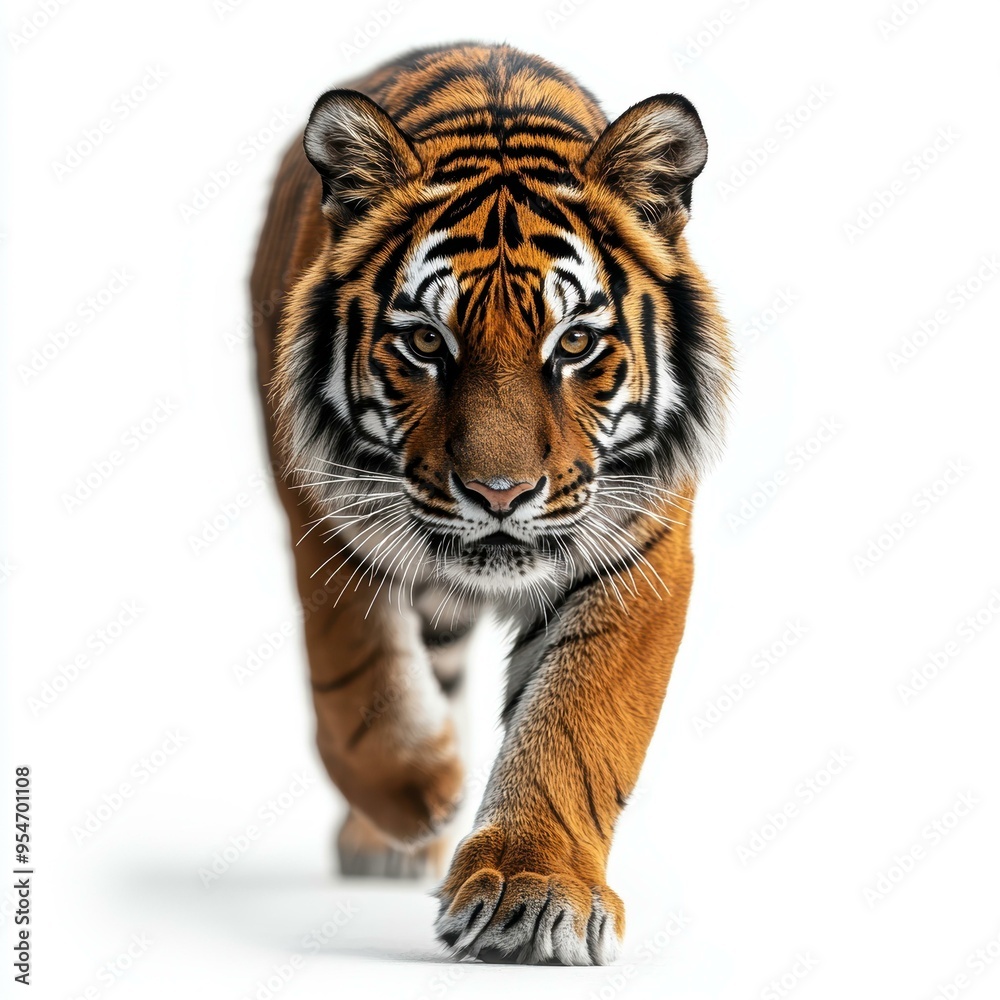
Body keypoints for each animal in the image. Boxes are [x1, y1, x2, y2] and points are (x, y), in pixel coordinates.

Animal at [250, 42, 732, 966]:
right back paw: (390, 832)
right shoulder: (325, 520)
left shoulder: (641, 551)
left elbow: (577, 721)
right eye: (424, 342)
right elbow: (358, 683)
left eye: (574, 343)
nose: (499, 493)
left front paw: (530, 889)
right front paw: (423, 785)